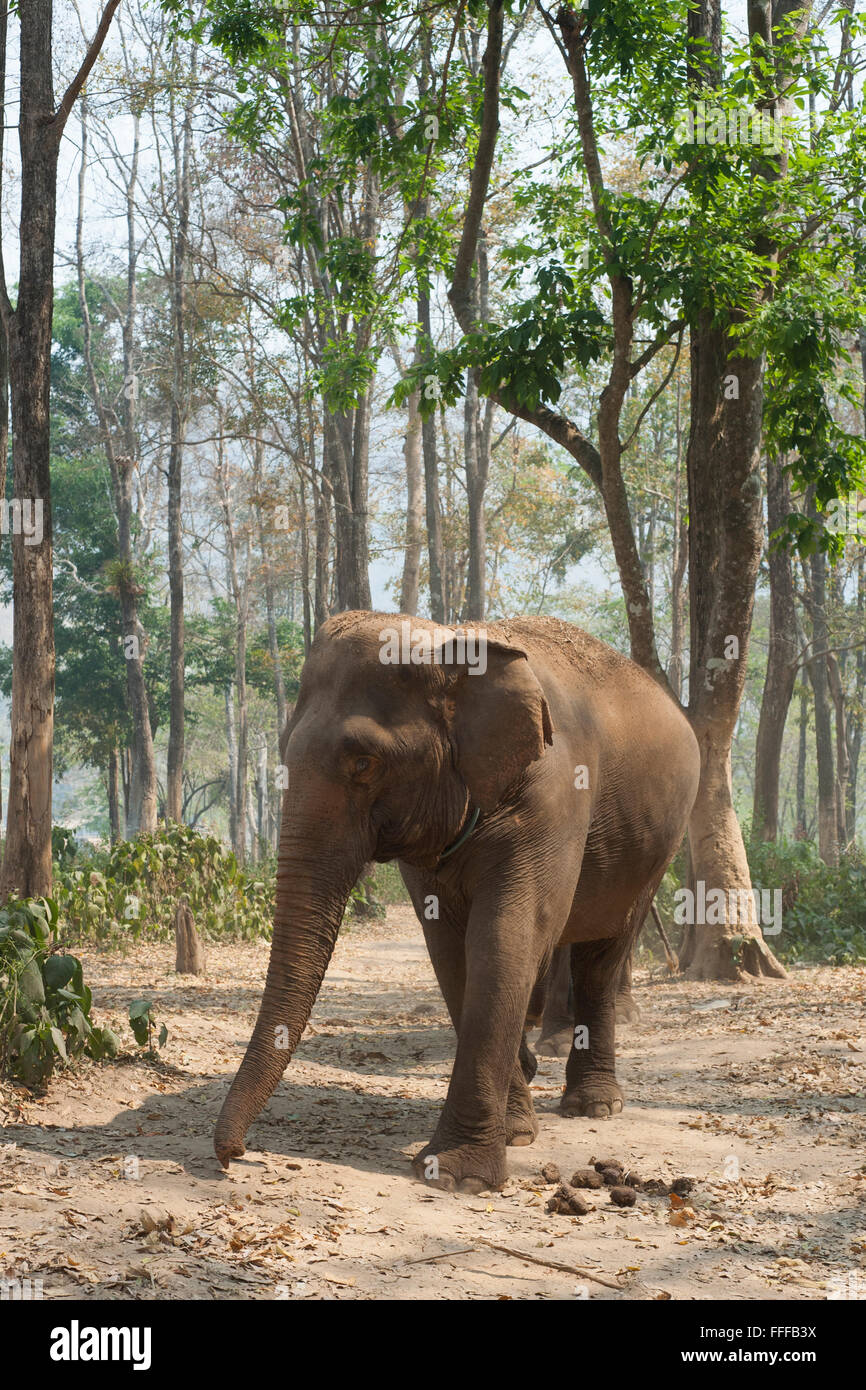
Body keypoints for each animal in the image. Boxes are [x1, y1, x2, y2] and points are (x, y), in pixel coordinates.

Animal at [214, 614, 700, 1189]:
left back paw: (595, 1107)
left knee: (603, 953)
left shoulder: (554, 795)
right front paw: (515, 1131)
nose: (233, 1155)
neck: (451, 644)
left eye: (364, 762)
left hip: (658, 848)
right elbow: (448, 946)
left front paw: (454, 1175)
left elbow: (509, 933)